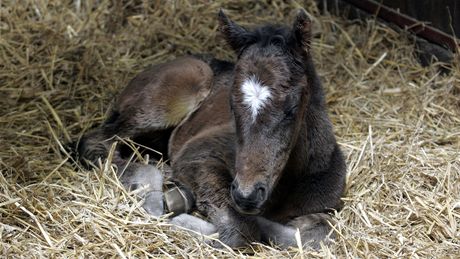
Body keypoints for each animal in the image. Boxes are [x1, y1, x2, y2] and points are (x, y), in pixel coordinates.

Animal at [77, 10, 346, 250]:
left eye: (292, 108)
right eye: (231, 105)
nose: (246, 195)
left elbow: (322, 233)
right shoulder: (198, 156)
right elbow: (239, 229)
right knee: (96, 142)